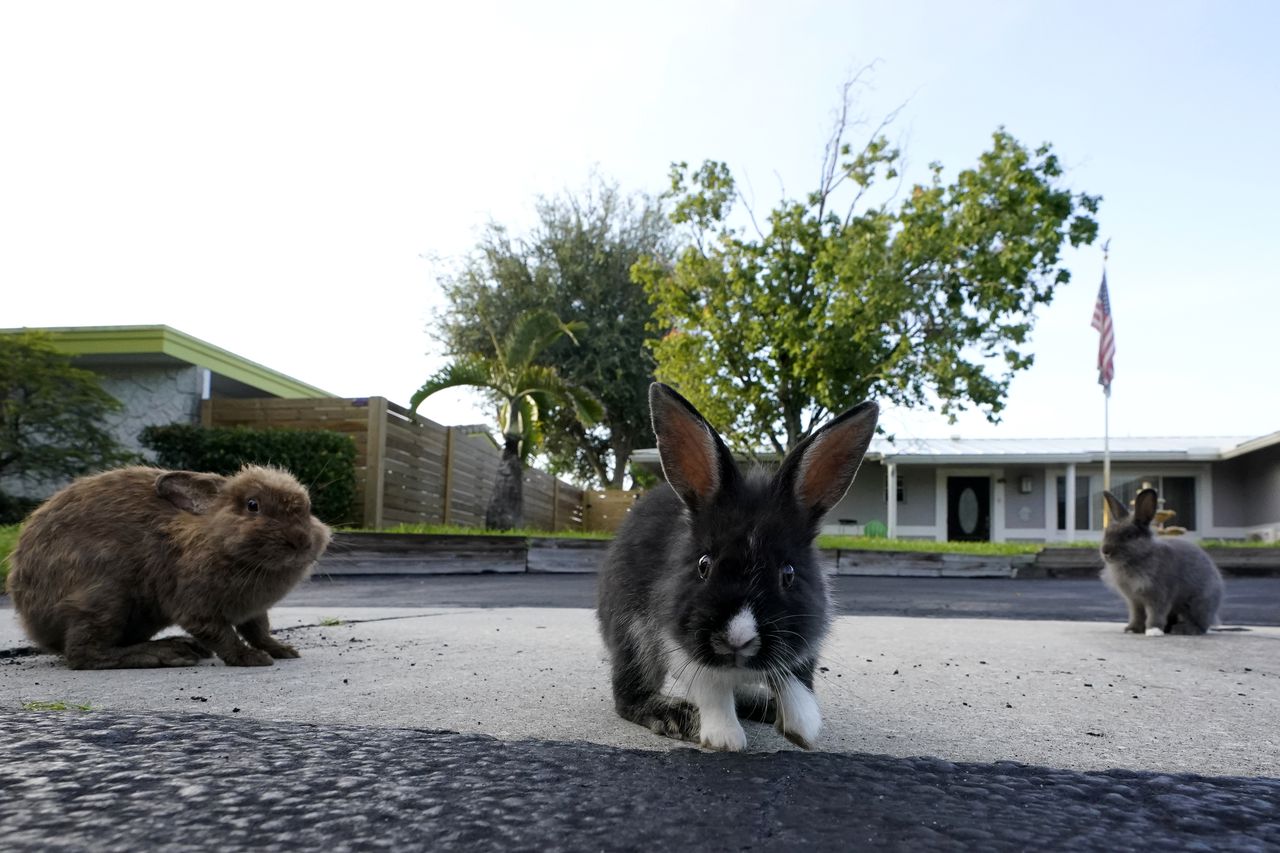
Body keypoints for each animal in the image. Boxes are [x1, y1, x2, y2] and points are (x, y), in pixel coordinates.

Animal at [5, 461, 332, 666]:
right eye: (253, 505)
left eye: (308, 509)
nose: (301, 541)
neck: (214, 541)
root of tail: (32, 621)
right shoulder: (195, 607)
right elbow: (223, 635)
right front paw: (251, 659)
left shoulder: (252, 610)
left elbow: (259, 631)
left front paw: (283, 650)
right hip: (104, 598)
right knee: (82, 654)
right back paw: (166, 654)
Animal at [593, 381, 875, 747]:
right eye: (703, 565)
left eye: (788, 574)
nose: (737, 639)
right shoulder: (679, 641)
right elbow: (712, 688)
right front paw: (724, 738)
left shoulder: (804, 642)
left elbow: (795, 682)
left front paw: (802, 728)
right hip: (632, 636)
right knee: (628, 696)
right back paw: (676, 715)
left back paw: (763, 705)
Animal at [1100, 489, 1218, 635]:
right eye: (1107, 533)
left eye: (1129, 535)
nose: (1105, 551)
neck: (1138, 558)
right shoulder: (1134, 601)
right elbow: (1137, 615)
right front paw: (1132, 629)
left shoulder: (1159, 596)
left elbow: (1155, 614)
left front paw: (1153, 630)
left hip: (1197, 604)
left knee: (1200, 625)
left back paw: (1182, 629)